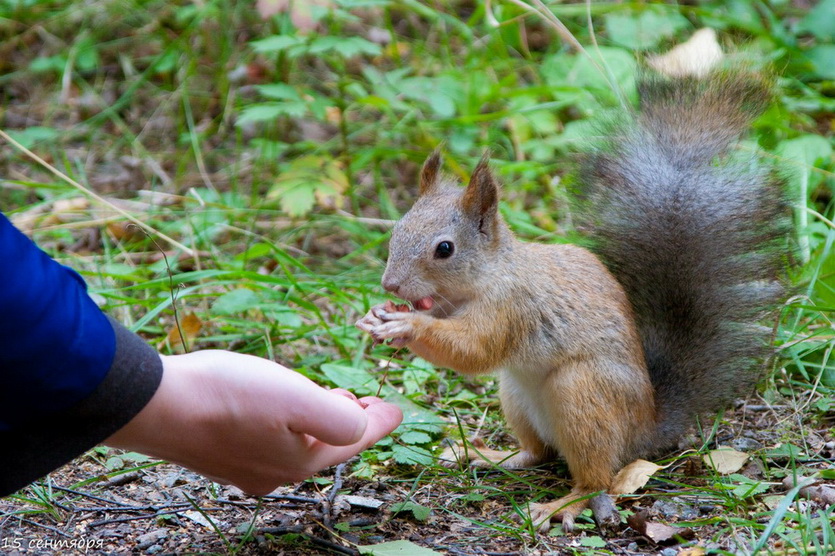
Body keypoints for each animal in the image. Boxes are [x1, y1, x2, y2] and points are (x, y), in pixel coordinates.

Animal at [356, 32, 788, 532]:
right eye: (396, 231)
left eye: (444, 249)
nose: (390, 286)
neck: (487, 276)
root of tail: (644, 426)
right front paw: (380, 316)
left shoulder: (513, 307)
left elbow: (474, 350)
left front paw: (407, 326)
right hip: (516, 395)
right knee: (538, 453)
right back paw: (490, 455)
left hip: (582, 393)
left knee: (595, 477)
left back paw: (562, 504)